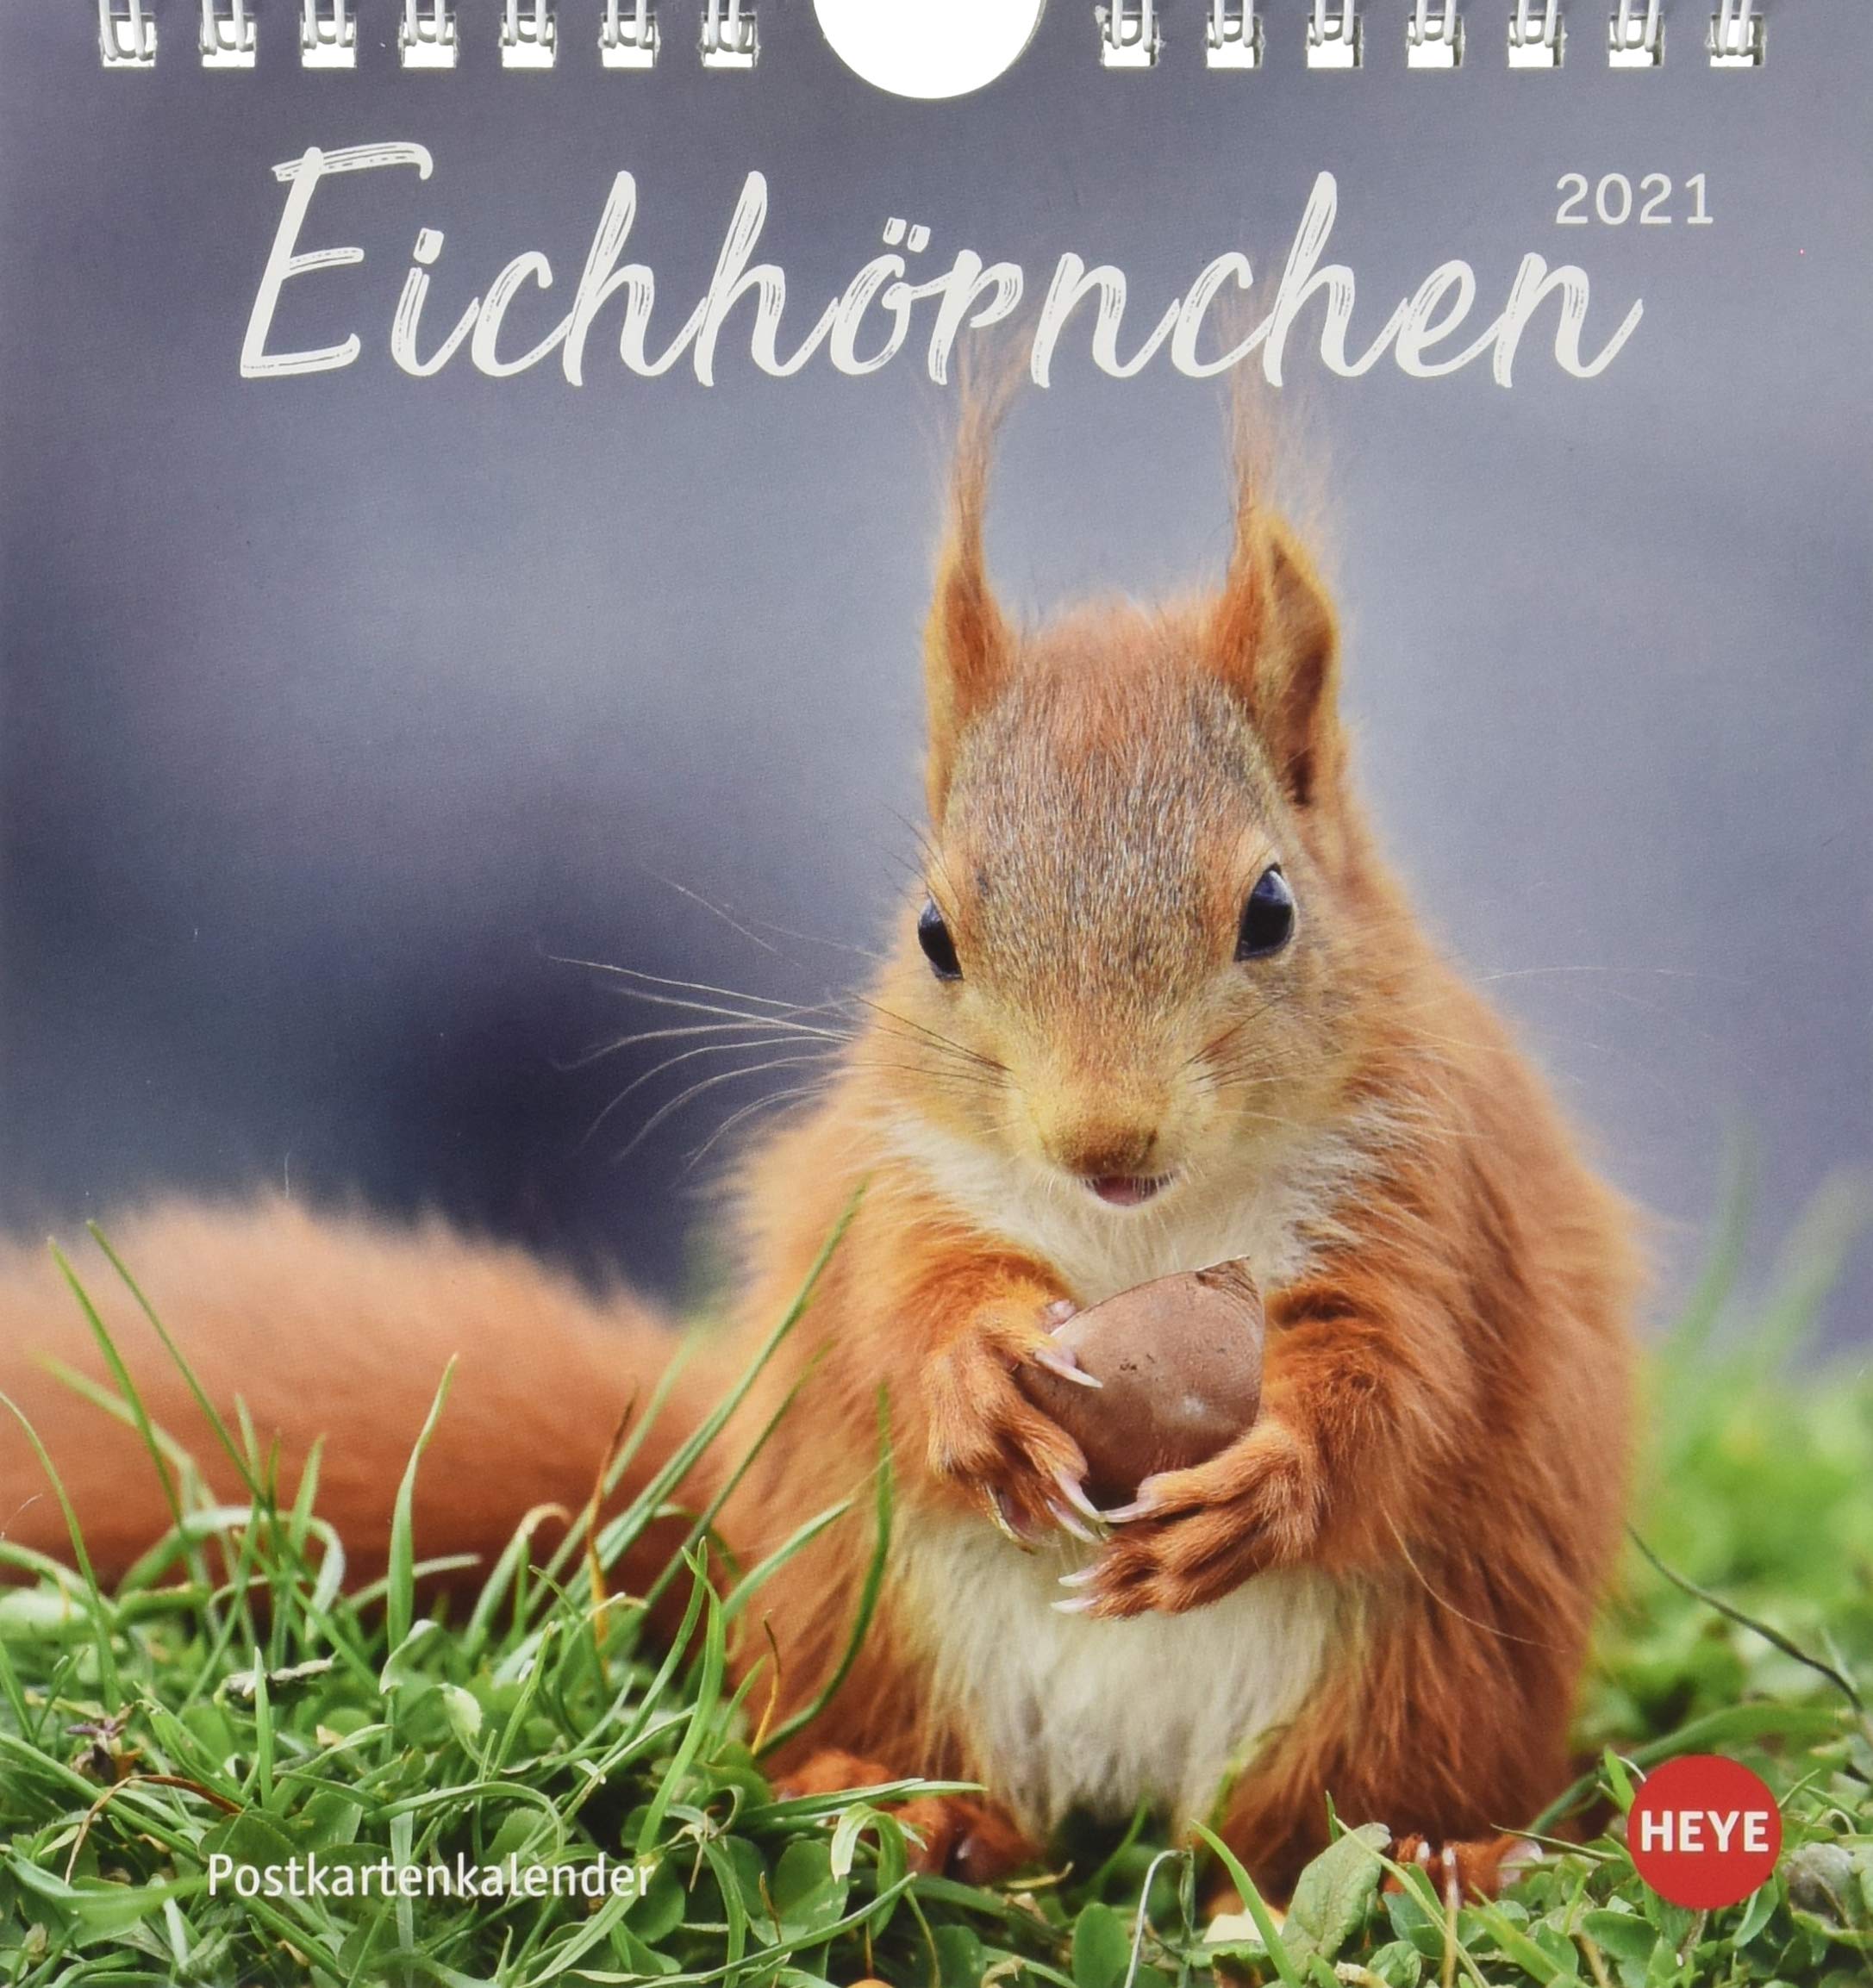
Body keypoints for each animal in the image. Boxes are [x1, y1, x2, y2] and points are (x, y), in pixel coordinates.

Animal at [0, 412, 1639, 1900]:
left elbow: (1396, 1377)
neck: (1135, 1233)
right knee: (893, 1755)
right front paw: (969, 1387)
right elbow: (896, 1310)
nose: (1101, 1138)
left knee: (1305, 1837)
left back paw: (1422, 1856)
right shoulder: (892, 1182)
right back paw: (905, 1806)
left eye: (1273, 910)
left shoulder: (1429, 1198)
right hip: (859, 1604)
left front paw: (1274, 1473)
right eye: (933, 935)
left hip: (1422, 1676)